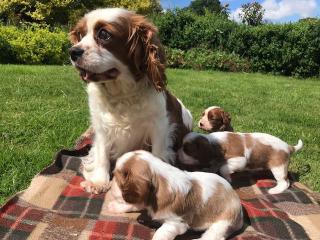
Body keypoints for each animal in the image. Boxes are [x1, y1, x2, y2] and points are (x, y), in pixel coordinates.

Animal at [68, 8, 191, 194]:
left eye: (104, 34)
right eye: (81, 35)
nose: (72, 52)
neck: (121, 93)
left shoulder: (159, 127)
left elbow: (157, 154)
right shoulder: (102, 128)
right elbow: (102, 155)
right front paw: (99, 181)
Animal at [107, 150, 242, 240]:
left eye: (117, 178)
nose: (110, 186)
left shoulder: (175, 223)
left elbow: (160, 234)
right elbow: (134, 204)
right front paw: (114, 207)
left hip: (223, 223)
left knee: (213, 236)